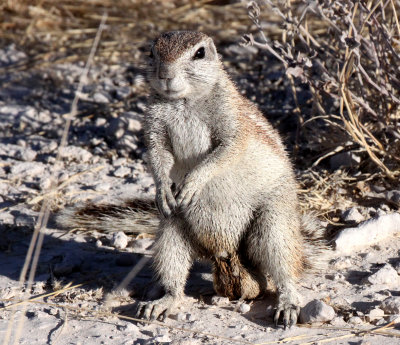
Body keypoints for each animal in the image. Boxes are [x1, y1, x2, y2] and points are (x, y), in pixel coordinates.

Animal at [60, 30, 328, 326]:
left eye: (199, 53)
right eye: (152, 52)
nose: (165, 74)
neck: (184, 101)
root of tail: (227, 251)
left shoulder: (231, 121)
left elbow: (224, 152)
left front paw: (192, 183)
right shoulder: (154, 127)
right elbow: (158, 155)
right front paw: (163, 189)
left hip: (274, 222)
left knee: (284, 269)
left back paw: (288, 304)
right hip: (172, 229)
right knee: (174, 272)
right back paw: (162, 302)